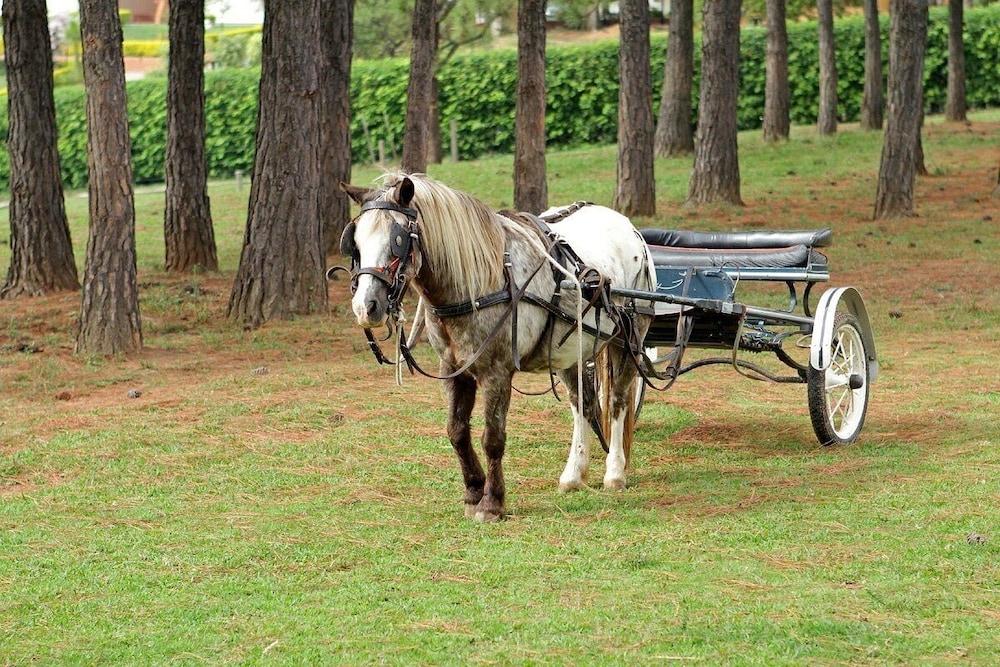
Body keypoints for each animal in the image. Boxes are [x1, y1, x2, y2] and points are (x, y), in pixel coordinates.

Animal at [338, 172, 656, 522]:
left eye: (397, 240)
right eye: (355, 243)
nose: (366, 306)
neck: (477, 282)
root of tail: (628, 227)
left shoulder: (497, 372)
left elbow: (492, 437)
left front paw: (492, 503)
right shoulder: (453, 369)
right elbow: (457, 431)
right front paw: (473, 492)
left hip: (629, 339)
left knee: (616, 402)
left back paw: (615, 473)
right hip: (571, 351)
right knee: (583, 405)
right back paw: (574, 475)